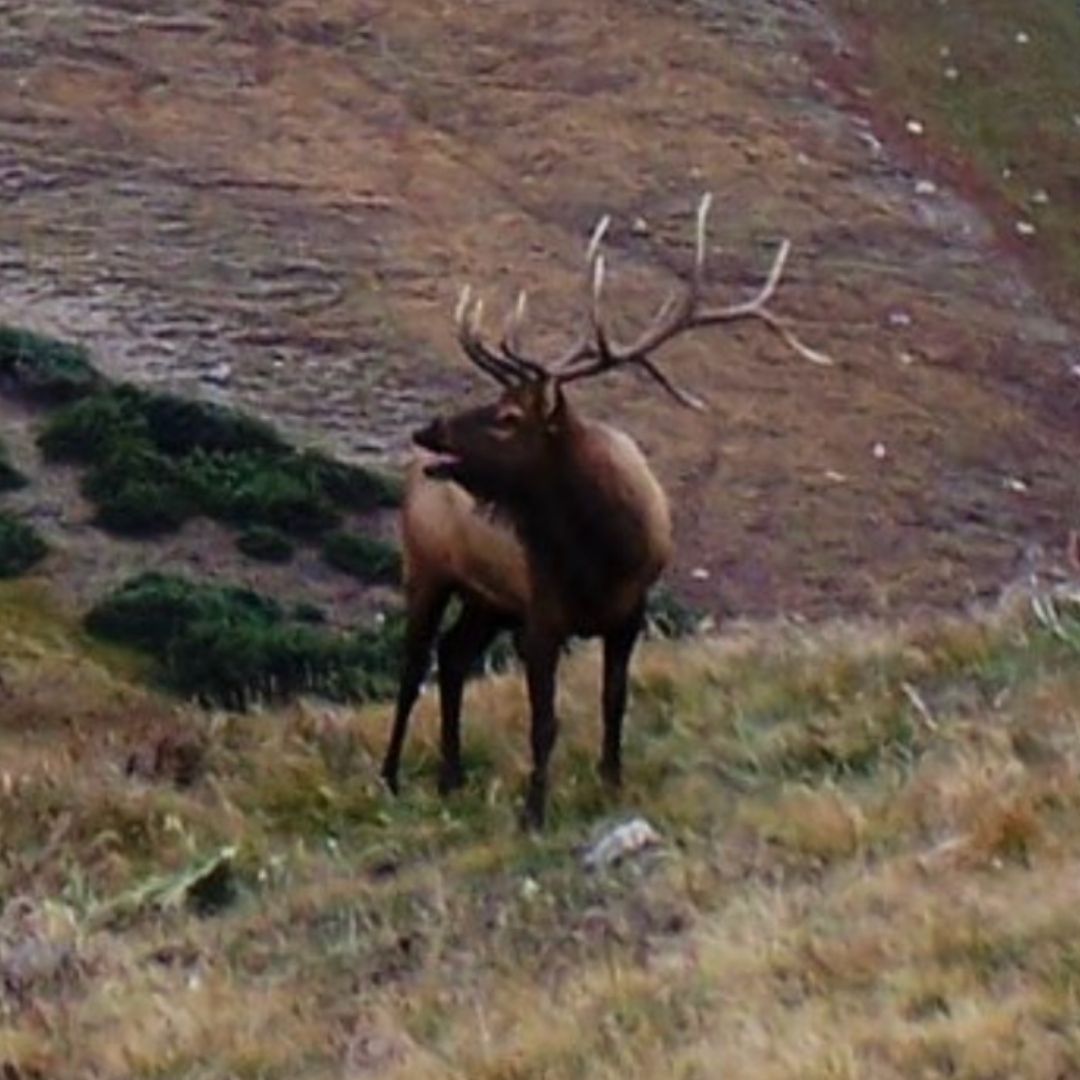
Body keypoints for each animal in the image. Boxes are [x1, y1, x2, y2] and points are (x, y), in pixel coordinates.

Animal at [381, 194, 830, 829]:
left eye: (508, 417)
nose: (429, 431)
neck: (600, 555)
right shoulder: (542, 616)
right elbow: (544, 724)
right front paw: (533, 813)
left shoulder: (629, 612)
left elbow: (614, 701)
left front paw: (612, 782)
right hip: (426, 567)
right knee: (413, 665)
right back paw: (391, 776)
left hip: (489, 599)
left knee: (451, 655)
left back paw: (451, 776)